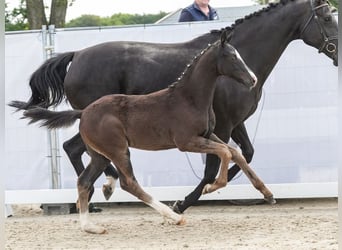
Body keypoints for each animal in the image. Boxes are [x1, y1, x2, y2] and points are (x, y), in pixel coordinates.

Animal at [10, 0, 336, 213]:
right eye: (328, 18)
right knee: (77, 149)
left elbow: (245, 154)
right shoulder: (223, 125)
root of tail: (76, 55)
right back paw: (103, 189)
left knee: (77, 150)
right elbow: (214, 167)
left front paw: (260, 193)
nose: (337, 53)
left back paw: (97, 195)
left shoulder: (234, 123)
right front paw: (184, 202)